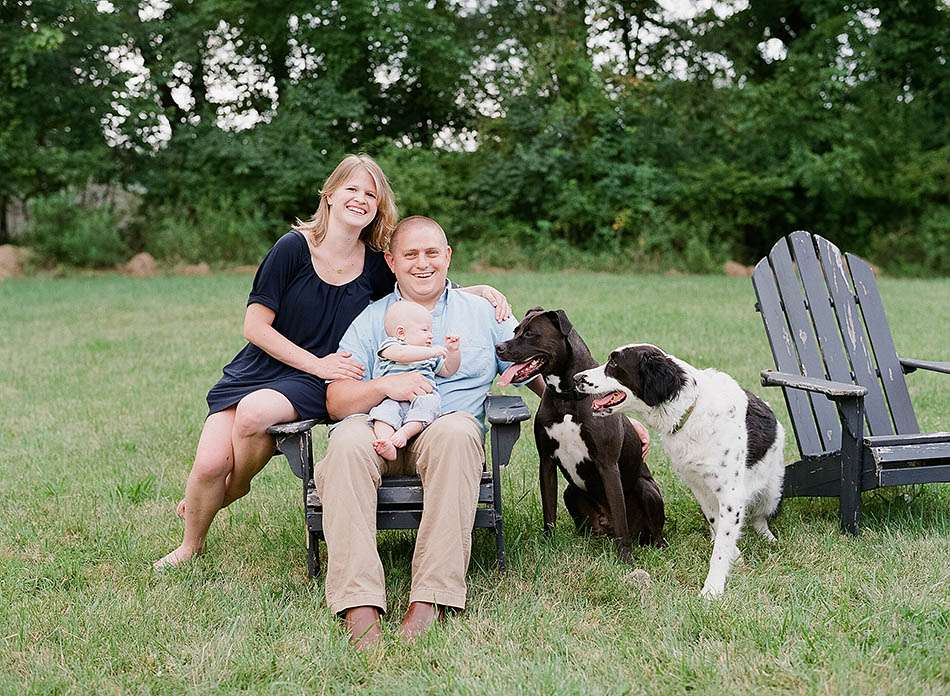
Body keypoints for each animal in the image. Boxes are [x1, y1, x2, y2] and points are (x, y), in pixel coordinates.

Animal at [572, 346, 788, 596]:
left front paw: (713, 588)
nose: (576, 378)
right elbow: (717, 525)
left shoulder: (731, 495)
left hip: (771, 492)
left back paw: (768, 537)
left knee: (760, 517)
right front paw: (733, 557)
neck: (690, 409)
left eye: (614, 364)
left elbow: (723, 544)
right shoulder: (700, 488)